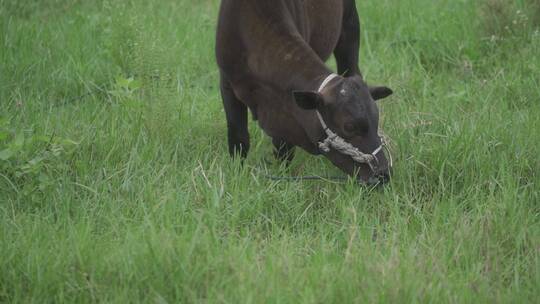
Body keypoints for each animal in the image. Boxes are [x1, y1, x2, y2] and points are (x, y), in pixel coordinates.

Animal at [215, 0, 392, 184]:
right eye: (349, 126)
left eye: (376, 120)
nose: (383, 174)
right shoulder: (226, 82)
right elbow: (238, 136)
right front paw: (237, 171)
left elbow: (283, 147)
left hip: (349, 24)